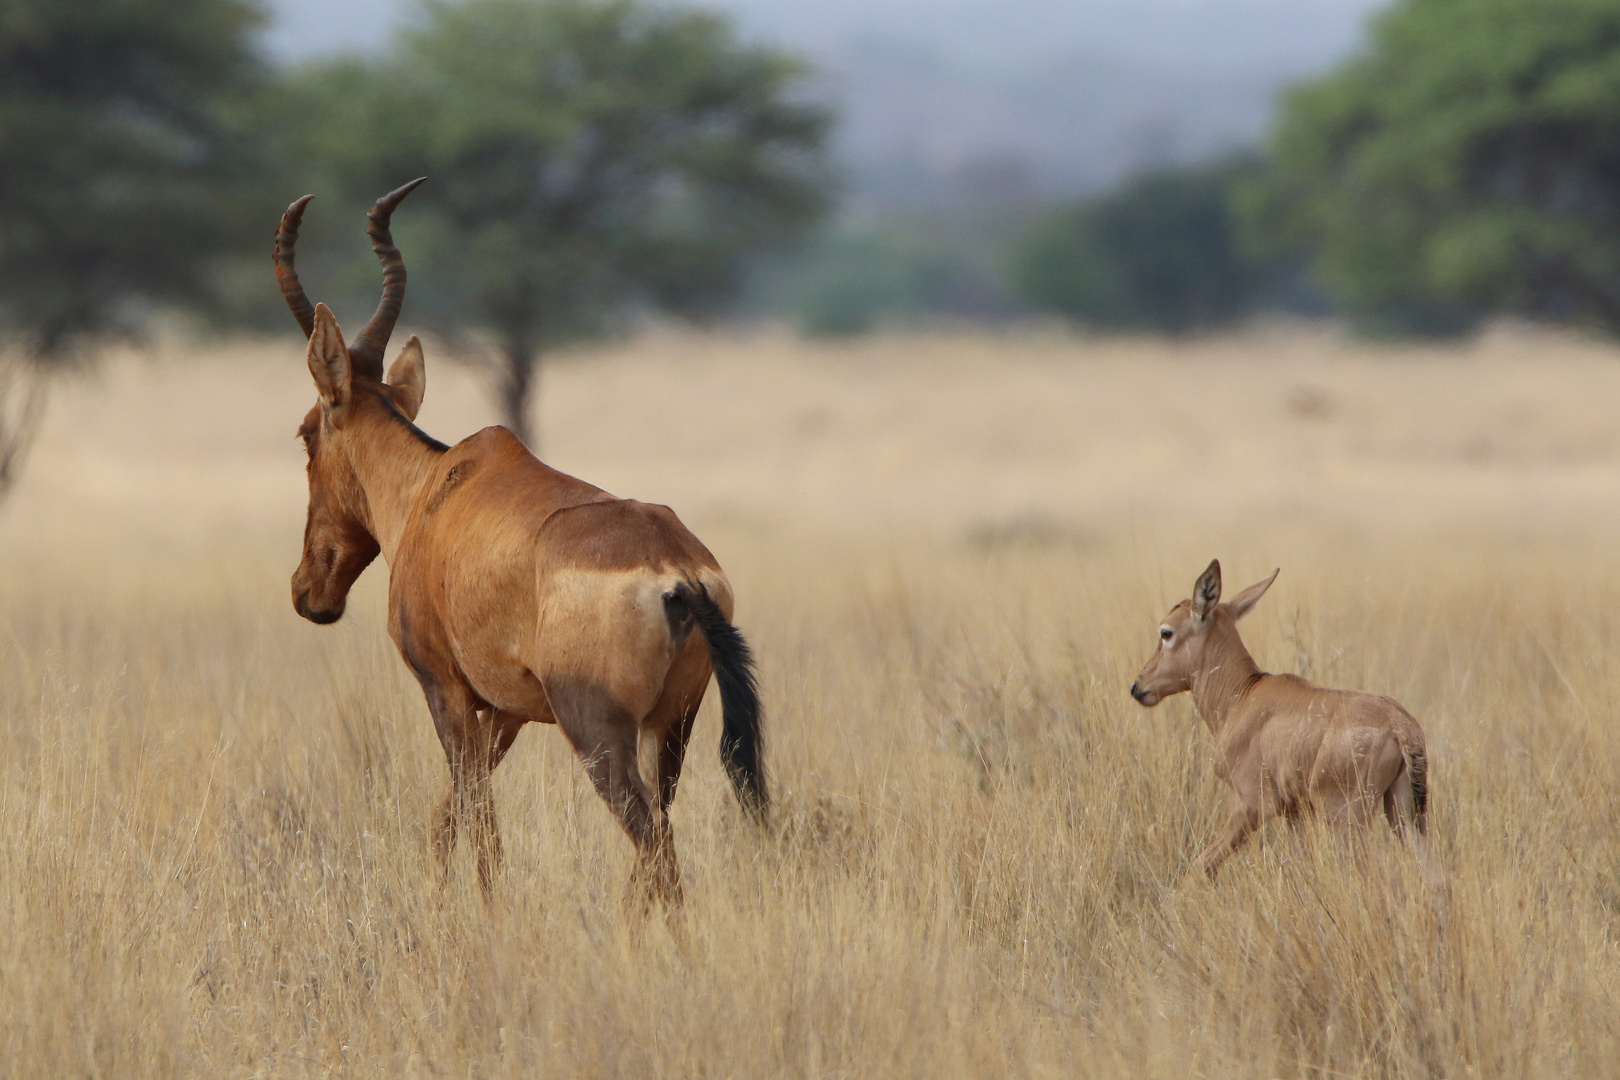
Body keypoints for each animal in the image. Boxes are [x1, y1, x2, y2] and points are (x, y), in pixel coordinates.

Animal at [273, 181, 764, 906]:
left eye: (308, 432)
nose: (310, 591)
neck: (436, 488)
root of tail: (679, 573)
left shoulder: (446, 687)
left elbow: (478, 821)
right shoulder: (508, 707)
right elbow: (449, 814)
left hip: (598, 731)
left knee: (653, 844)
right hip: (671, 726)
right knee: (659, 841)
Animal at [1127, 563, 1432, 880]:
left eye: (1166, 632)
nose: (1139, 686)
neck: (1244, 695)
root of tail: (1400, 727)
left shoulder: (1254, 806)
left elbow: (1202, 864)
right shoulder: (1293, 813)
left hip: (1347, 818)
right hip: (1403, 816)